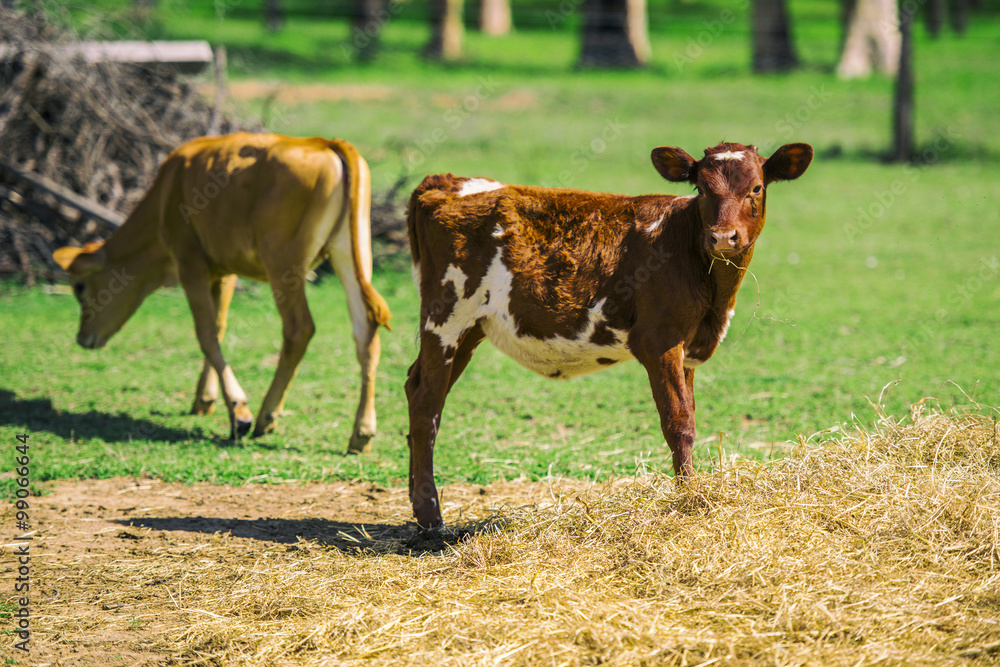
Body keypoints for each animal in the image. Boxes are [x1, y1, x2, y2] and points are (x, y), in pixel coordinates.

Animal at [52, 132, 390, 454]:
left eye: (79, 287)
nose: (82, 338)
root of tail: (325, 143)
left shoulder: (190, 261)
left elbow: (204, 332)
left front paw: (238, 412)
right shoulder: (224, 270)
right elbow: (218, 325)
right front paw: (204, 400)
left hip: (283, 262)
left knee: (299, 328)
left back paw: (266, 417)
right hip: (352, 252)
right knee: (365, 330)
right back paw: (361, 433)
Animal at [404, 141, 812, 528]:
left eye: (756, 187)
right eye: (700, 188)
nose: (723, 237)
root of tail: (445, 181)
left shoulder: (688, 347)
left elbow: (691, 413)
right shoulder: (658, 339)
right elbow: (678, 422)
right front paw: (690, 498)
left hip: (471, 328)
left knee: (416, 385)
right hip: (446, 317)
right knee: (427, 402)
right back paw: (430, 516)